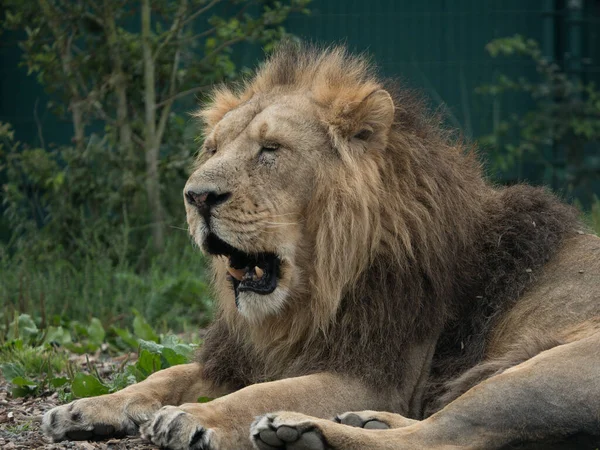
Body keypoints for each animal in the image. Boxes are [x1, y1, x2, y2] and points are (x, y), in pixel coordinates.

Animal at [42, 43, 600, 450]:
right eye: (213, 149)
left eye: (271, 150)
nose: (196, 196)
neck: (313, 299)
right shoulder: (258, 354)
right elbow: (168, 373)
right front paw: (83, 408)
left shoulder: (378, 373)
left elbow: (263, 392)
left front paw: (193, 416)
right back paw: (365, 422)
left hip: (549, 372)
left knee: (443, 436)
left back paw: (302, 432)